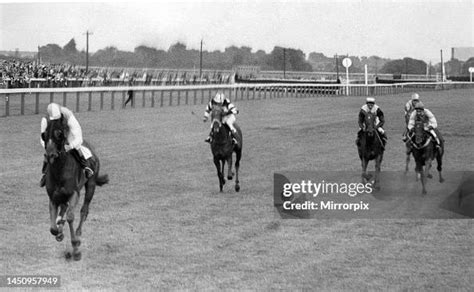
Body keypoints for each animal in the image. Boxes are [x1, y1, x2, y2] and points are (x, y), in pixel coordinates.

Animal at [43, 116, 108, 260]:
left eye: (59, 134)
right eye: (44, 135)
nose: (50, 155)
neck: (59, 171)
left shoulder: (74, 193)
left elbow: (70, 217)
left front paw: (76, 248)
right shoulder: (53, 198)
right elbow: (53, 228)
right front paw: (59, 232)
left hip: (91, 185)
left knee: (84, 210)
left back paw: (78, 234)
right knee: (64, 209)